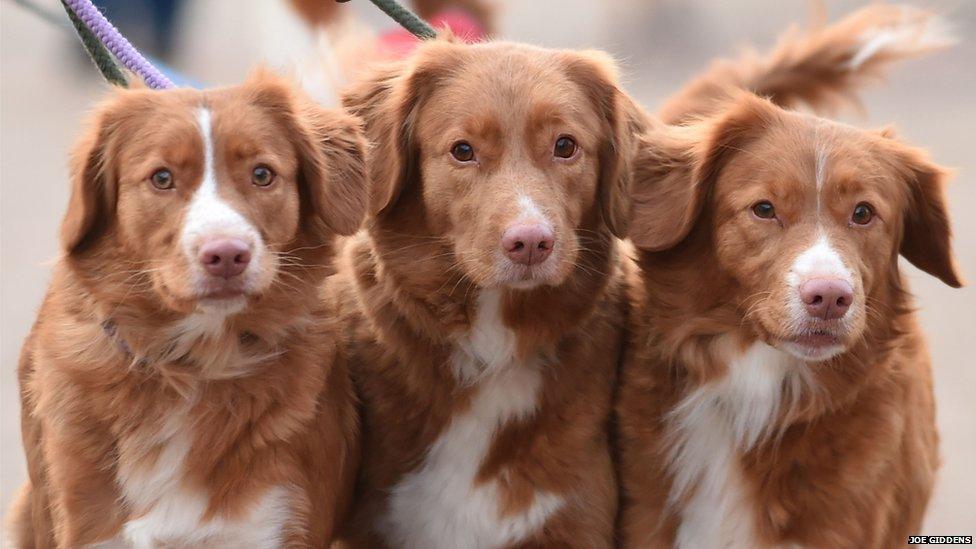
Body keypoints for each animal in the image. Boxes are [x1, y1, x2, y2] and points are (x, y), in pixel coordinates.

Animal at [8, 73, 366, 548]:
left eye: (262, 174)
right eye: (162, 177)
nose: (227, 255)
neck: (193, 365)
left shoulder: (275, 518)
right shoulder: (87, 523)